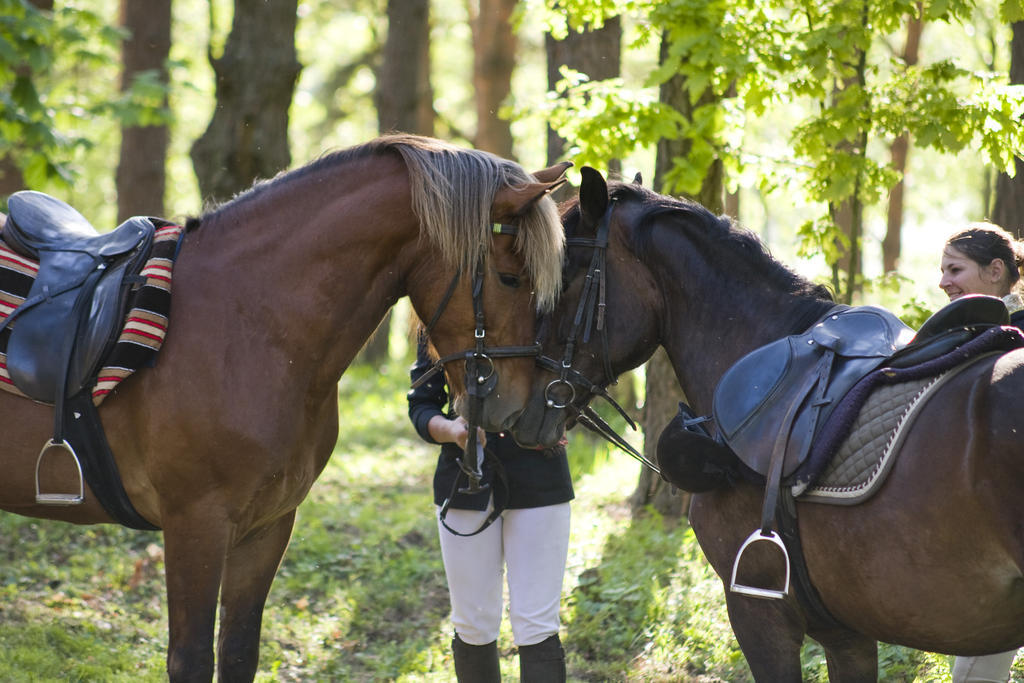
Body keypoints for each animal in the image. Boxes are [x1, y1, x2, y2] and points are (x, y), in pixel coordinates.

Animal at [0, 135, 569, 683]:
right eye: (510, 276)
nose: (518, 407)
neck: (246, 325)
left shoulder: (266, 527)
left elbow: (236, 653)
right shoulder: (195, 526)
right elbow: (191, 659)